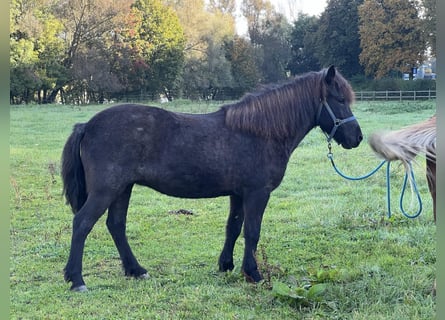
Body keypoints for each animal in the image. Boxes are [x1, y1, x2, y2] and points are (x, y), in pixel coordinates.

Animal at [61, 66, 360, 292]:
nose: (356, 138)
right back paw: (77, 280)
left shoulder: (238, 194)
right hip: (106, 190)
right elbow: (252, 231)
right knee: (82, 224)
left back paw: (136, 270)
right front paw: (253, 273)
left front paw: (226, 265)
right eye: (340, 100)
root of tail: (87, 126)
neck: (260, 132)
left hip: (123, 188)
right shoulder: (257, 193)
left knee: (116, 225)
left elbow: (233, 228)